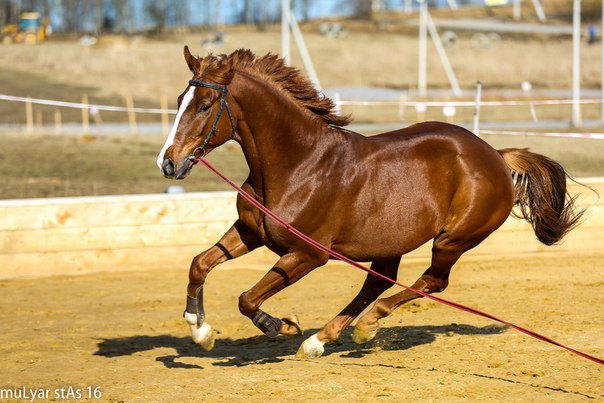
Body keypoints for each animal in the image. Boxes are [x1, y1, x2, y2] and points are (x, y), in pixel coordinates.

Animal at [156, 45, 580, 358]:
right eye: (178, 99)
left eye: (205, 105)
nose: (169, 162)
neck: (298, 164)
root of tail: (495, 154)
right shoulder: (251, 231)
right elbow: (199, 264)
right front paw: (200, 330)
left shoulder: (308, 254)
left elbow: (246, 298)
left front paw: (282, 325)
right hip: (390, 242)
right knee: (378, 283)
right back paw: (321, 340)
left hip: (452, 239)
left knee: (430, 281)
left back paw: (364, 327)